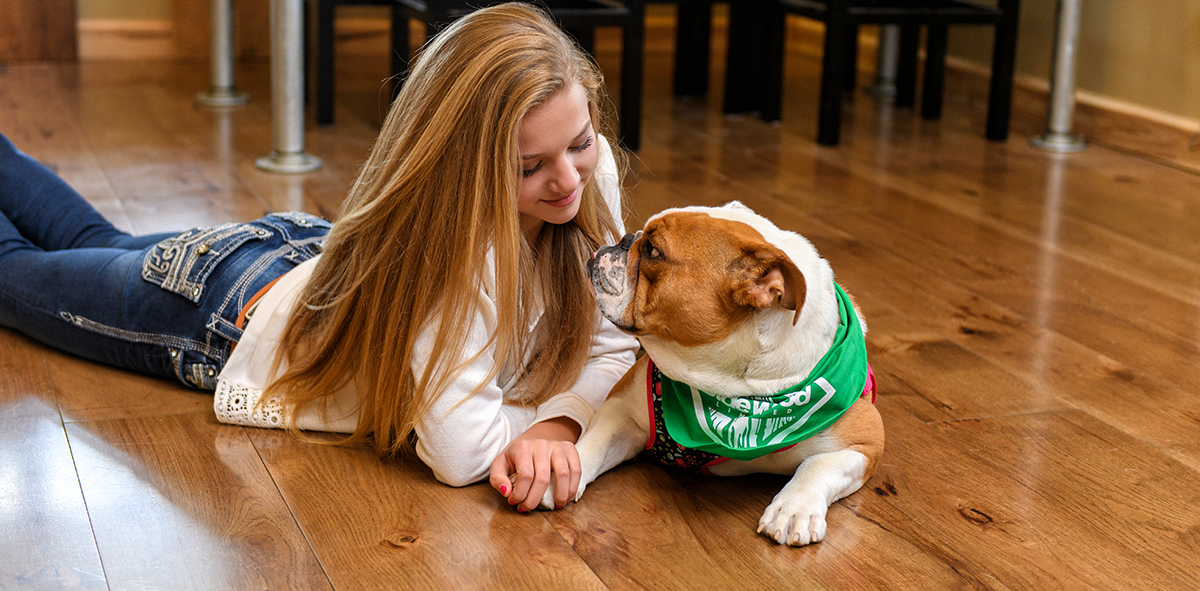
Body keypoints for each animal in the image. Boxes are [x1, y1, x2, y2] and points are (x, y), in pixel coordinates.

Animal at [549, 201, 888, 545]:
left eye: (653, 251)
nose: (625, 238)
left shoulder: (864, 444)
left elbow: (817, 467)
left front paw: (794, 508)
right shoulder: (621, 409)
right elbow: (594, 442)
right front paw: (561, 469)